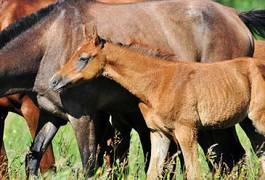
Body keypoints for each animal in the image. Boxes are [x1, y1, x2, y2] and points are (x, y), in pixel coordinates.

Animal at [50, 34, 265, 179]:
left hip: (259, 120)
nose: (54, 81)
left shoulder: (187, 131)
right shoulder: (158, 133)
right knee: (260, 152)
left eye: (83, 58)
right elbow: (153, 173)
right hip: (249, 123)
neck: (159, 82)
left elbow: (193, 173)